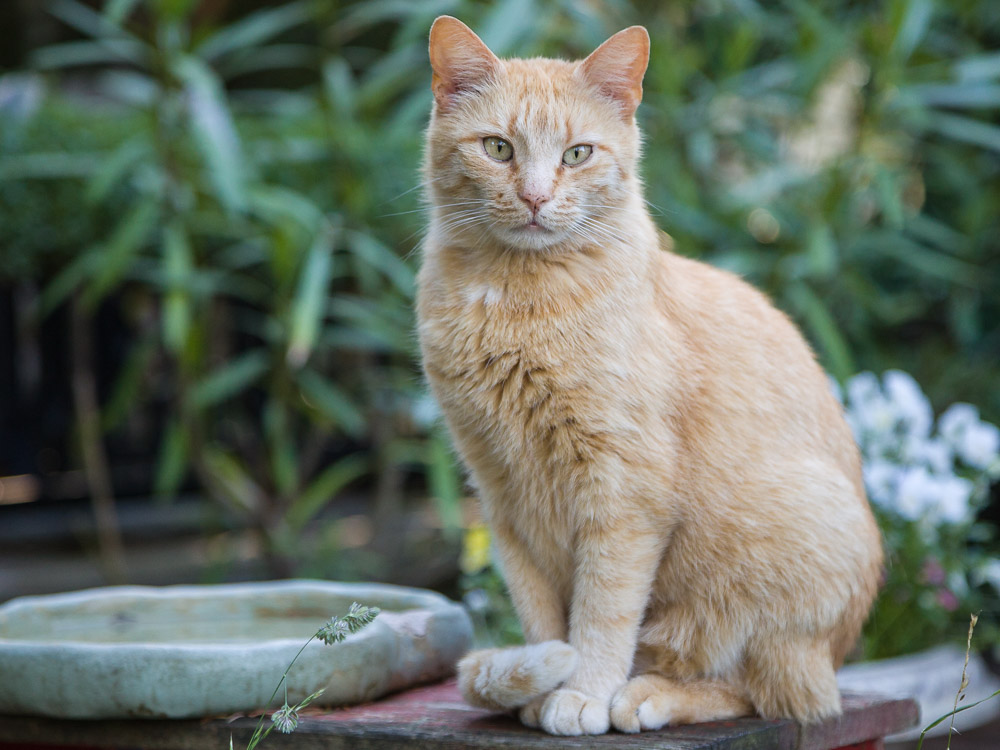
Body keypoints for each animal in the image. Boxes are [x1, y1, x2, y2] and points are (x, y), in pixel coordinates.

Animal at [414, 17, 884, 740]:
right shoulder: (502, 493)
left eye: (577, 154)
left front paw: (583, 692)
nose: (535, 197)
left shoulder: (624, 493)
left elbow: (602, 611)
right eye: (498, 148)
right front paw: (540, 687)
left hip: (787, 560)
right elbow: (541, 612)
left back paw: (646, 696)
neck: (517, 301)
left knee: (774, 690)